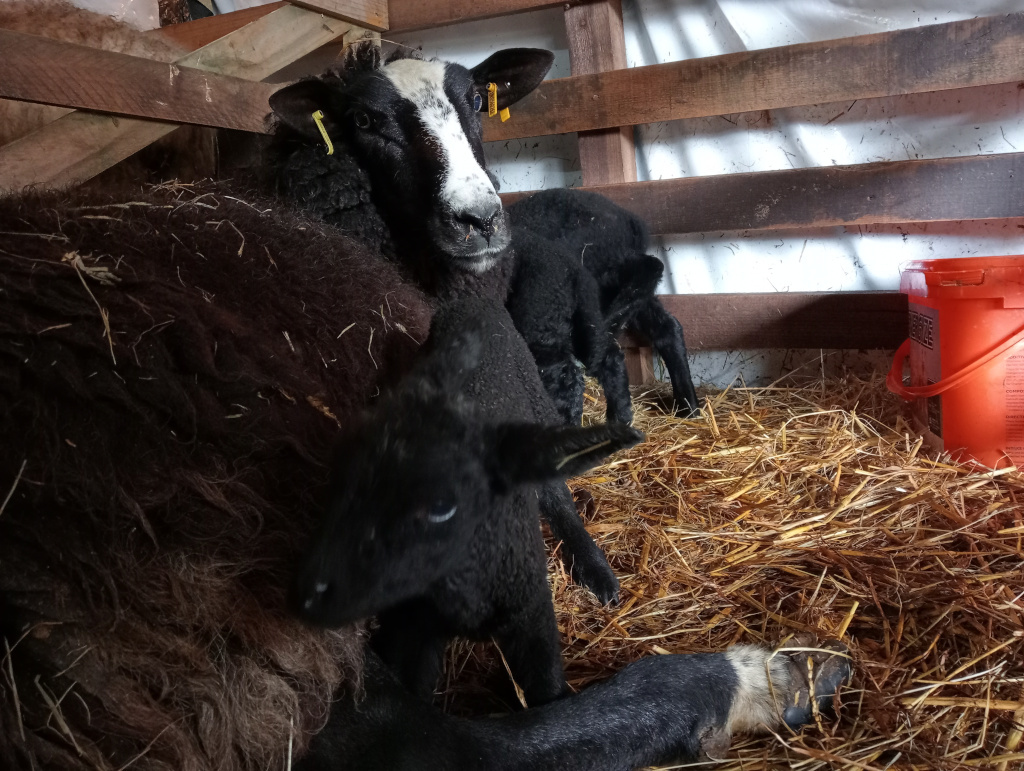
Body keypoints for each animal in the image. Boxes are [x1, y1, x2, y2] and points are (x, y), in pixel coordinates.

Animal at [292, 296, 644, 704]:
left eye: (441, 507)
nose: (307, 597)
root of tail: (476, 300)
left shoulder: (532, 617)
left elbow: (547, 693)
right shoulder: (411, 631)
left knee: (560, 502)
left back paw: (597, 572)